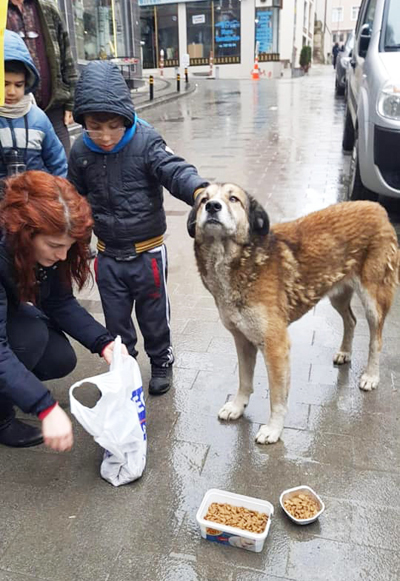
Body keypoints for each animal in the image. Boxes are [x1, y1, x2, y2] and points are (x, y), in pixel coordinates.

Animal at [188, 185, 400, 444]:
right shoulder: (242, 339)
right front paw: (238, 406)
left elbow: (277, 397)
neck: (238, 260)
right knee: (350, 320)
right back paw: (345, 352)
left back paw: (371, 375)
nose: (212, 207)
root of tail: (377, 208)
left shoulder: (275, 346)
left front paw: (273, 429)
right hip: (337, 294)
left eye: (233, 199)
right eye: (203, 200)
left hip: (373, 299)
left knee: (376, 339)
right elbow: (244, 380)